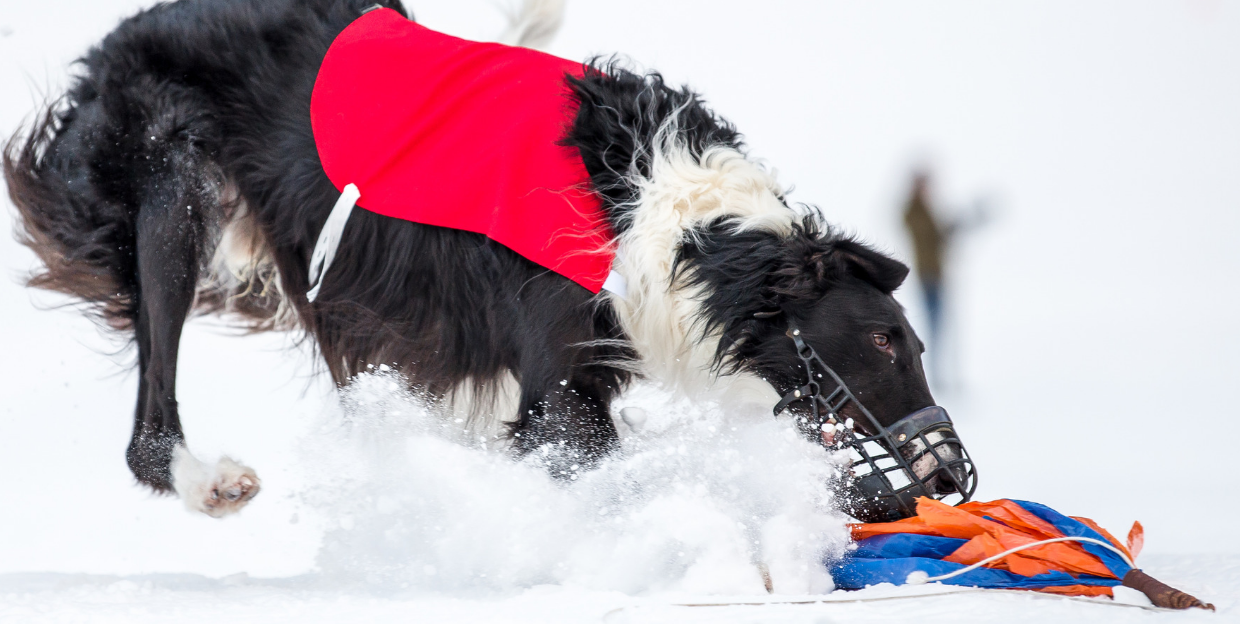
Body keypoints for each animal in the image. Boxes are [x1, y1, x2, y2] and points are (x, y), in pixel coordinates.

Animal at [4, 0, 942, 521]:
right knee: (147, 427)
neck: (660, 209)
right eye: (888, 341)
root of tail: (113, 41)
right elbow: (584, 452)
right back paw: (208, 483)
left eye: (915, 343)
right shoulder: (556, 388)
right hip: (172, 191)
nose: (945, 473)